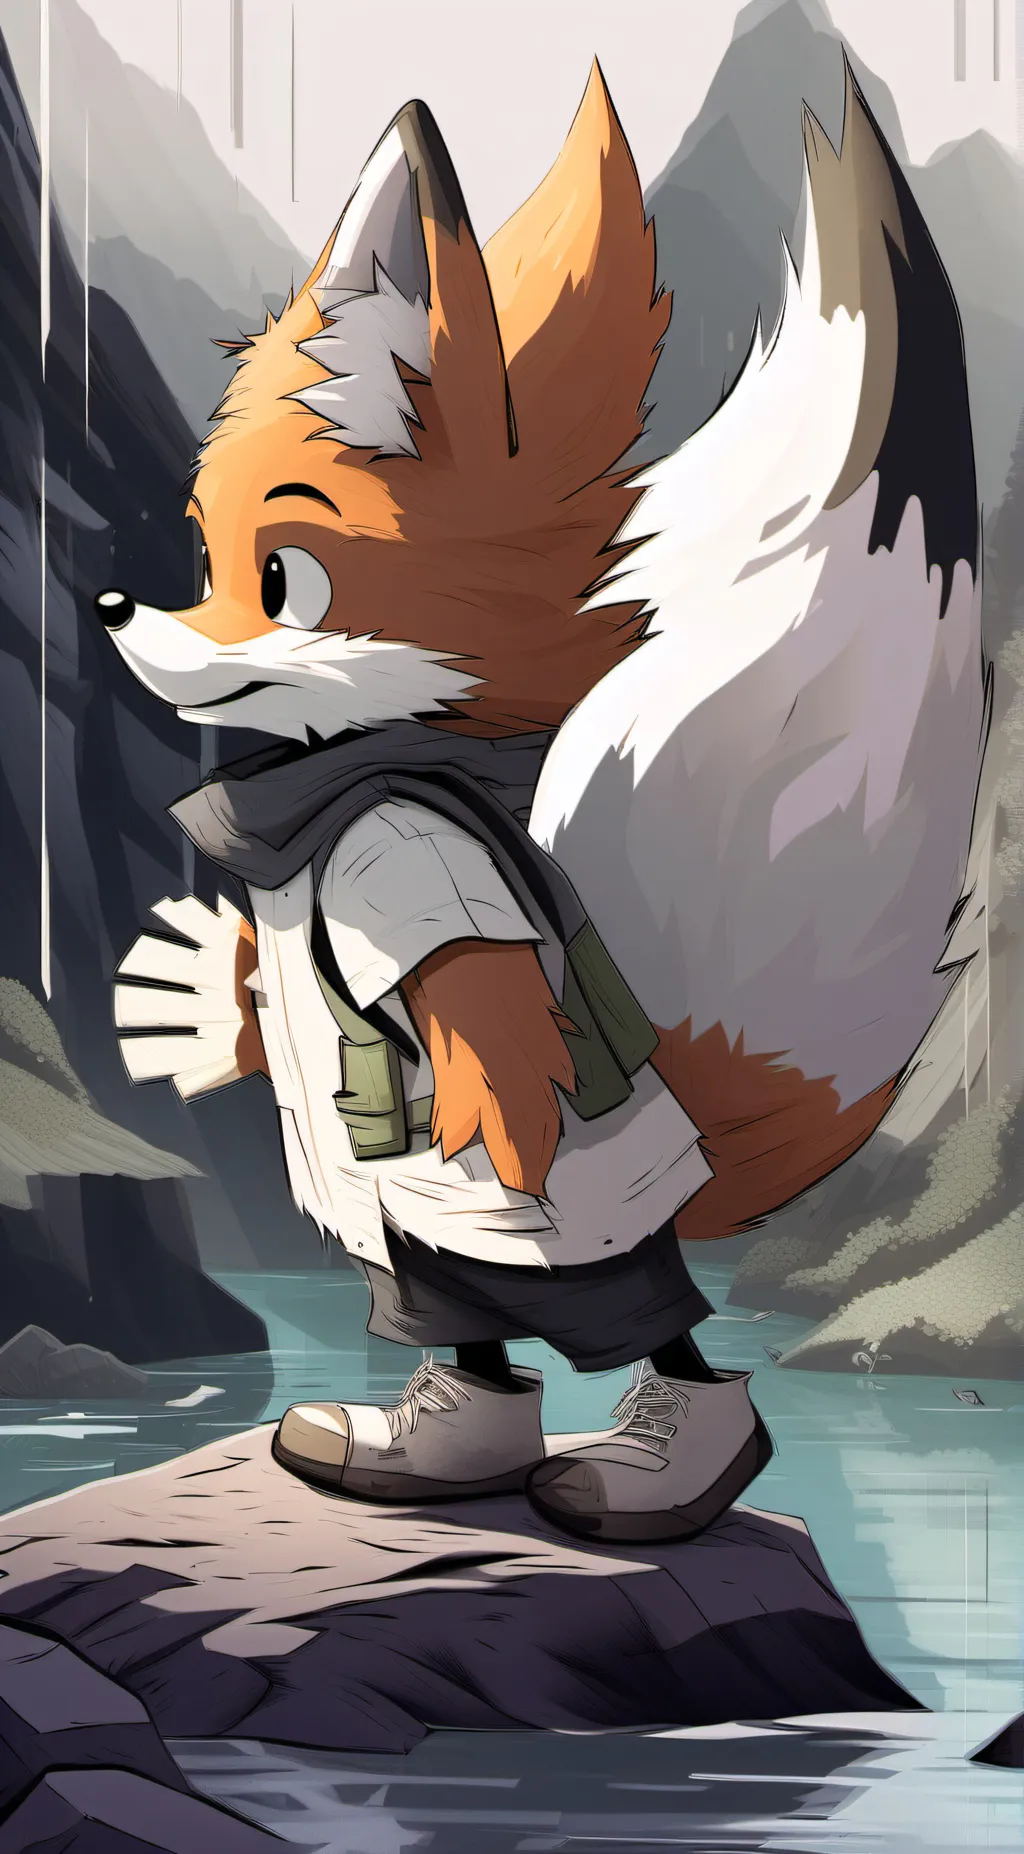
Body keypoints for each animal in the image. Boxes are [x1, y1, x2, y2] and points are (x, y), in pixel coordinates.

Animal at [98, 58, 987, 1543]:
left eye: (280, 578)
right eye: (201, 556)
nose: (112, 607)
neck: (335, 776)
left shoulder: (416, 868)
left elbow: (486, 1010)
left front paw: (493, 1094)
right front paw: (197, 997)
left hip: (559, 1231)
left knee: (638, 1309)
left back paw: (656, 1467)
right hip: (417, 1250)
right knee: (449, 1312)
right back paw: (421, 1446)